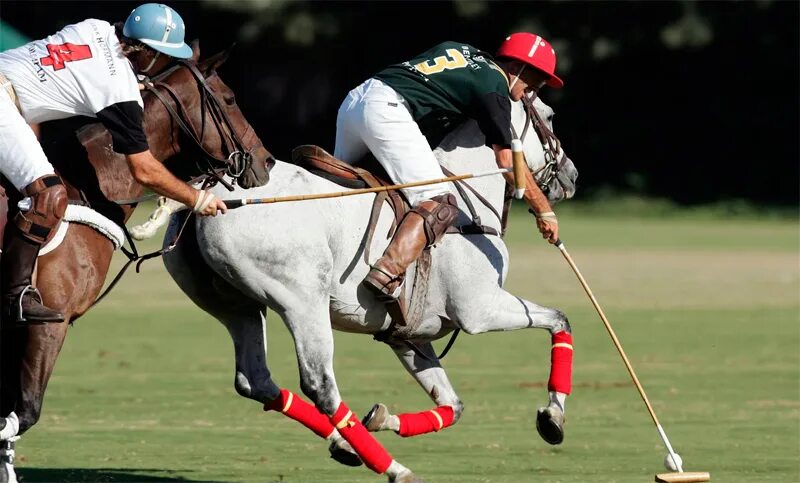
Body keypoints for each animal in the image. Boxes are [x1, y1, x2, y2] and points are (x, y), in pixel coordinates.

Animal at [0, 40, 272, 476]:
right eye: (229, 98)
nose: (266, 162)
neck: (86, 186)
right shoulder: (47, 325)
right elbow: (23, 413)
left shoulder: (16, 330)